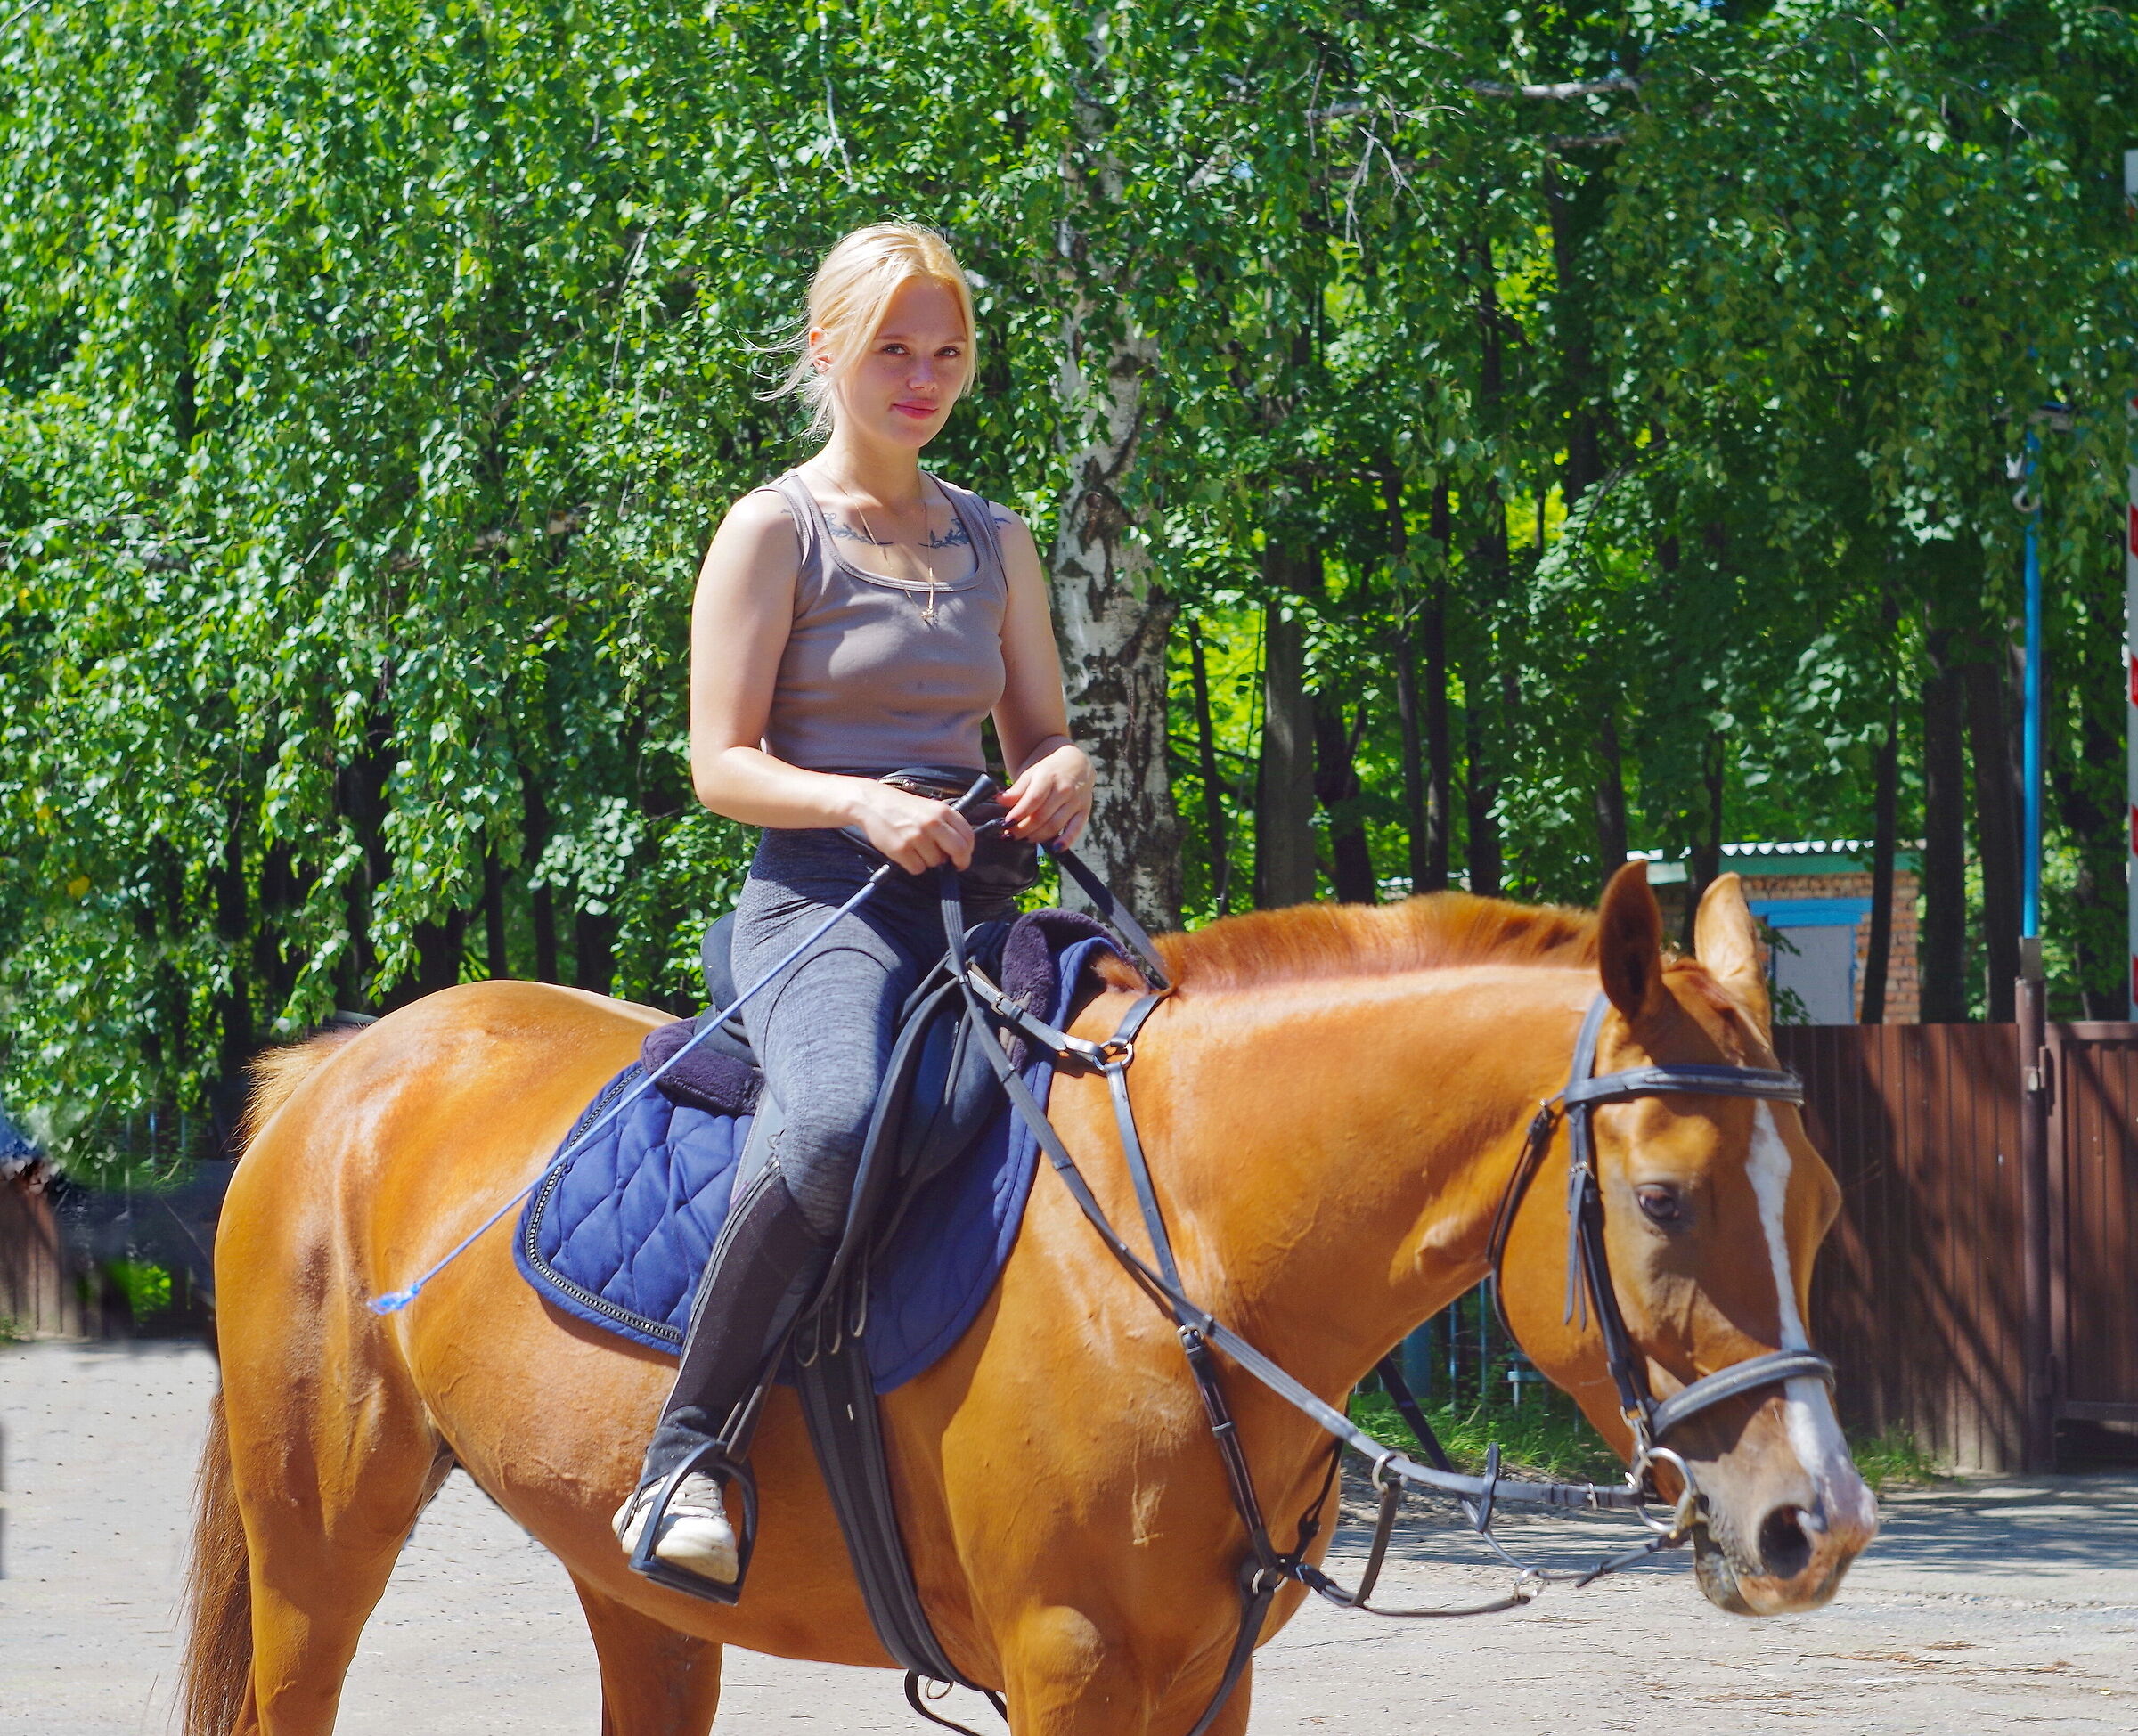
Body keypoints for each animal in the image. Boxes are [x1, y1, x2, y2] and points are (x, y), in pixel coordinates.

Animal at [178, 863, 1877, 1735]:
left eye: (1824, 1203)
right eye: (1664, 1199)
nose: (1820, 1521)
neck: (1188, 1252)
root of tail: (342, 1066)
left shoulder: (1209, 1682)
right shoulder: (1069, 1670)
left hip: (638, 1593)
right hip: (320, 1544)